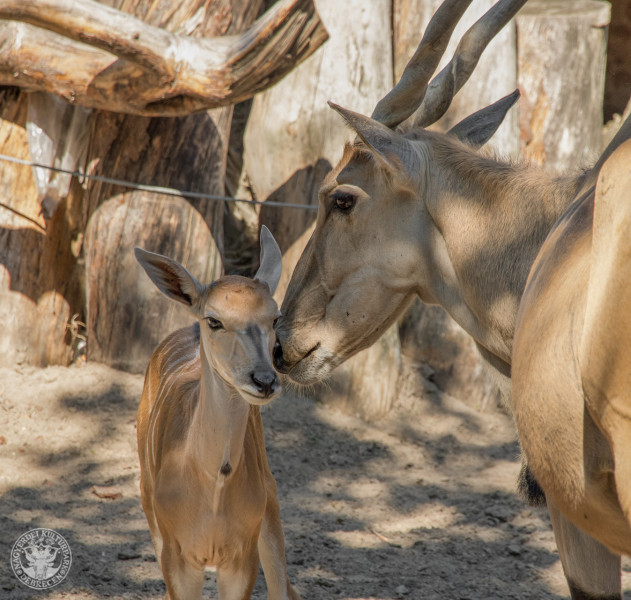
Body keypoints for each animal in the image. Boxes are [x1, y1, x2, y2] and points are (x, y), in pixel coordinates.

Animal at [134, 225, 302, 600]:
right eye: (214, 320)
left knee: (284, 587)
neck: (213, 482)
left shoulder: (242, 557)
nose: (264, 380)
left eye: (274, 318)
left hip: (269, 506)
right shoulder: (177, 557)